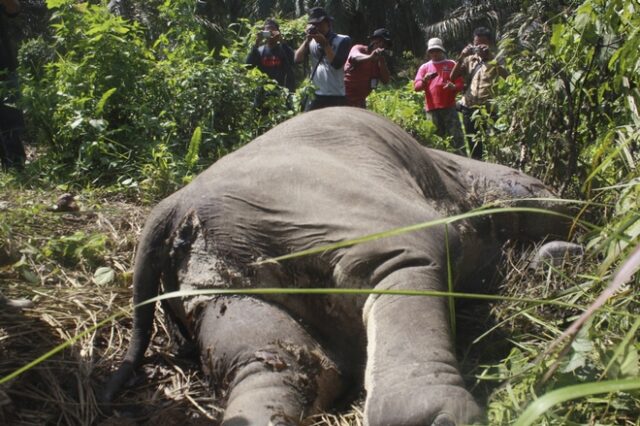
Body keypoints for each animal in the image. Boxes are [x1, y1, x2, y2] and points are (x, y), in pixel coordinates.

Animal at [102, 105, 572, 422]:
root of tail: (175, 204)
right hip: (323, 208)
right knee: (408, 261)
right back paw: (431, 415)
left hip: (220, 277)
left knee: (285, 361)